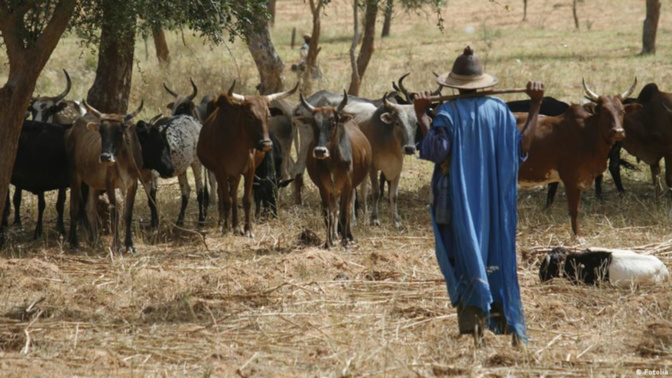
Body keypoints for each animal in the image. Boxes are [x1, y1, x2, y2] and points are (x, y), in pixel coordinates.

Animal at [66, 101, 145, 254]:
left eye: (119, 131)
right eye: (101, 131)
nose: (105, 157)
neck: (124, 158)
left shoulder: (134, 183)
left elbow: (128, 213)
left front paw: (130, 245)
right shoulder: (110, 183)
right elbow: (115, 213)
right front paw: (117, 246)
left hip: (94, 184)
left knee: (90, 208)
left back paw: (96, 241)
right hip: (74, 175)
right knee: (74, 208)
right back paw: (73, 242)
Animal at [197, 82, 296, 236]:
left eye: (268, 115)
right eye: (250, 115)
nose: (266, 144)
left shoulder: (250, 170)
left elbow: (247, 200)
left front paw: (247, 229)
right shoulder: (220, 171)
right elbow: (225, 200)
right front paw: (225, 228)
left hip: (236, 174)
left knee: (233, 195)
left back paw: (236, 225)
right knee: (223, 195)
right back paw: (222, 223)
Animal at [300, 92, 372, 248]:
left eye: (333, 123)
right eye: (313, 124)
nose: (320, 151)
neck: (333, 161)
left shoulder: (347, 185)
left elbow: (345, 214)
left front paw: (345, 241)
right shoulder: (324, 187)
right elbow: (328, 215)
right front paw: (328, 242)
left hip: (351, 187)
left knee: (348, 209)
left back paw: (349, 235)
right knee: (334, 210)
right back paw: (334, 235)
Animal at [516, 78, 636, 235]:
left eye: (622, 111)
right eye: (604, 111)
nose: (618, 132)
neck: (587, 133)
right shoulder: (570, 178)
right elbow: (573, 210)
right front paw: (576, 236)